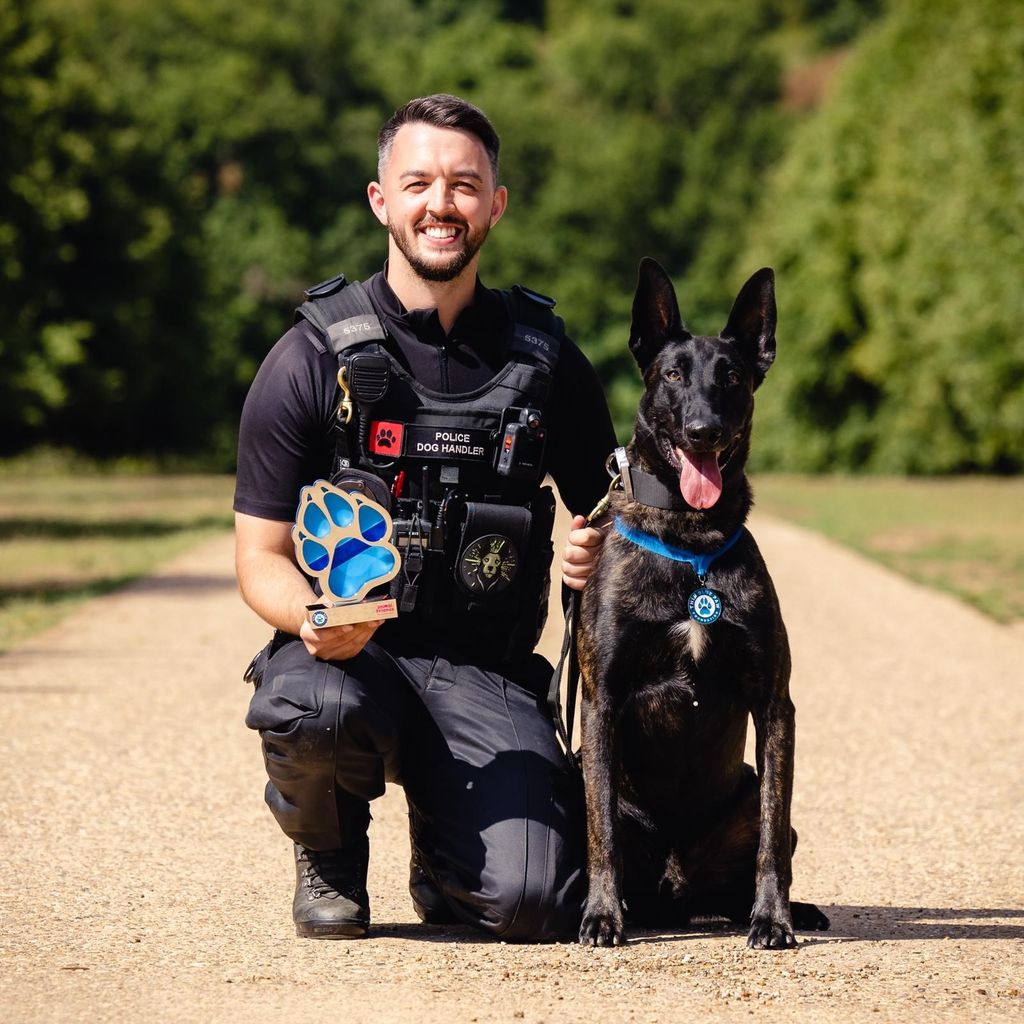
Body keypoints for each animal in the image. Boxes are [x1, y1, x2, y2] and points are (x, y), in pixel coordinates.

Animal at [581, 260, 827, 946]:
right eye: (672, 375)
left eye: (733, 378)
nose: (704, 431)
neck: (690, 542)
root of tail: (679, 894)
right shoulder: (601, 702)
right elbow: (600, 830)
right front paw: (601, 915)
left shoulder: (775, 707)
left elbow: (771, 837)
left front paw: (772, 919)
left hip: (748, 791)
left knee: (769, 838)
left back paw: (789, 909)